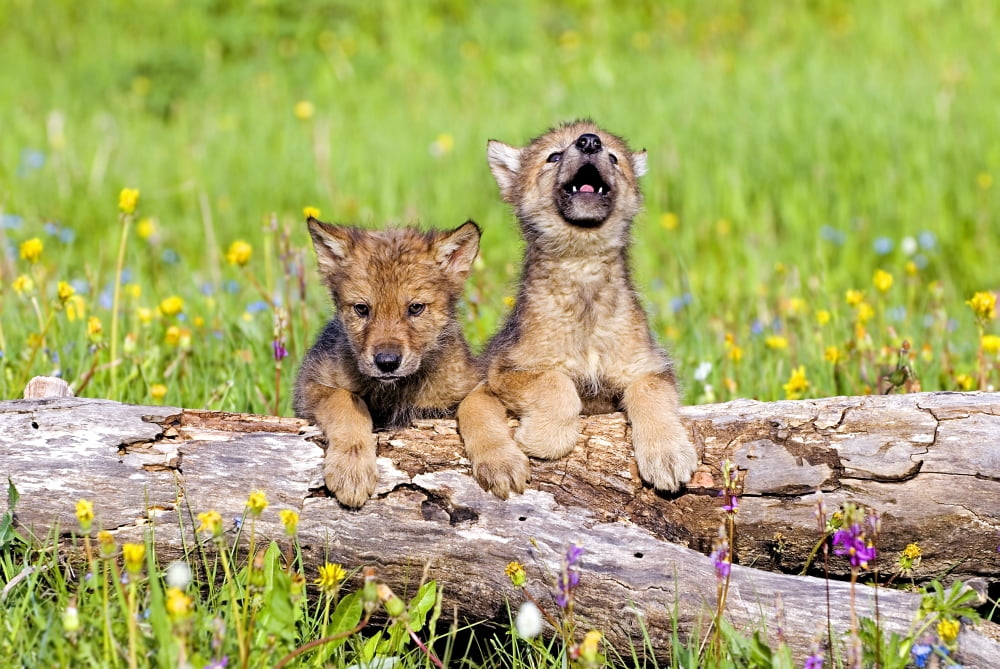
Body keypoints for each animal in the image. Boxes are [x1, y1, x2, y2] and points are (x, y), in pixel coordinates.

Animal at [294, 217, 482, 507]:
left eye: (415, 308)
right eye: (362, 308)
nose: (387, 362)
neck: (395, 393)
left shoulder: (468, 382)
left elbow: (479, 403)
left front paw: (502, 463)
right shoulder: (310, 385)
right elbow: (345, 401)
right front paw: (351, 470)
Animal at [457, 120, 699, 498]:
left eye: (613, 157)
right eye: (554, 156)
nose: (589, 142)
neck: (583, 270)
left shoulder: (648, 367)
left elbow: (651, 395)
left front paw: (668, 456)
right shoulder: (510, 369)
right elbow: (556, 384)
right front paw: (545, 440)